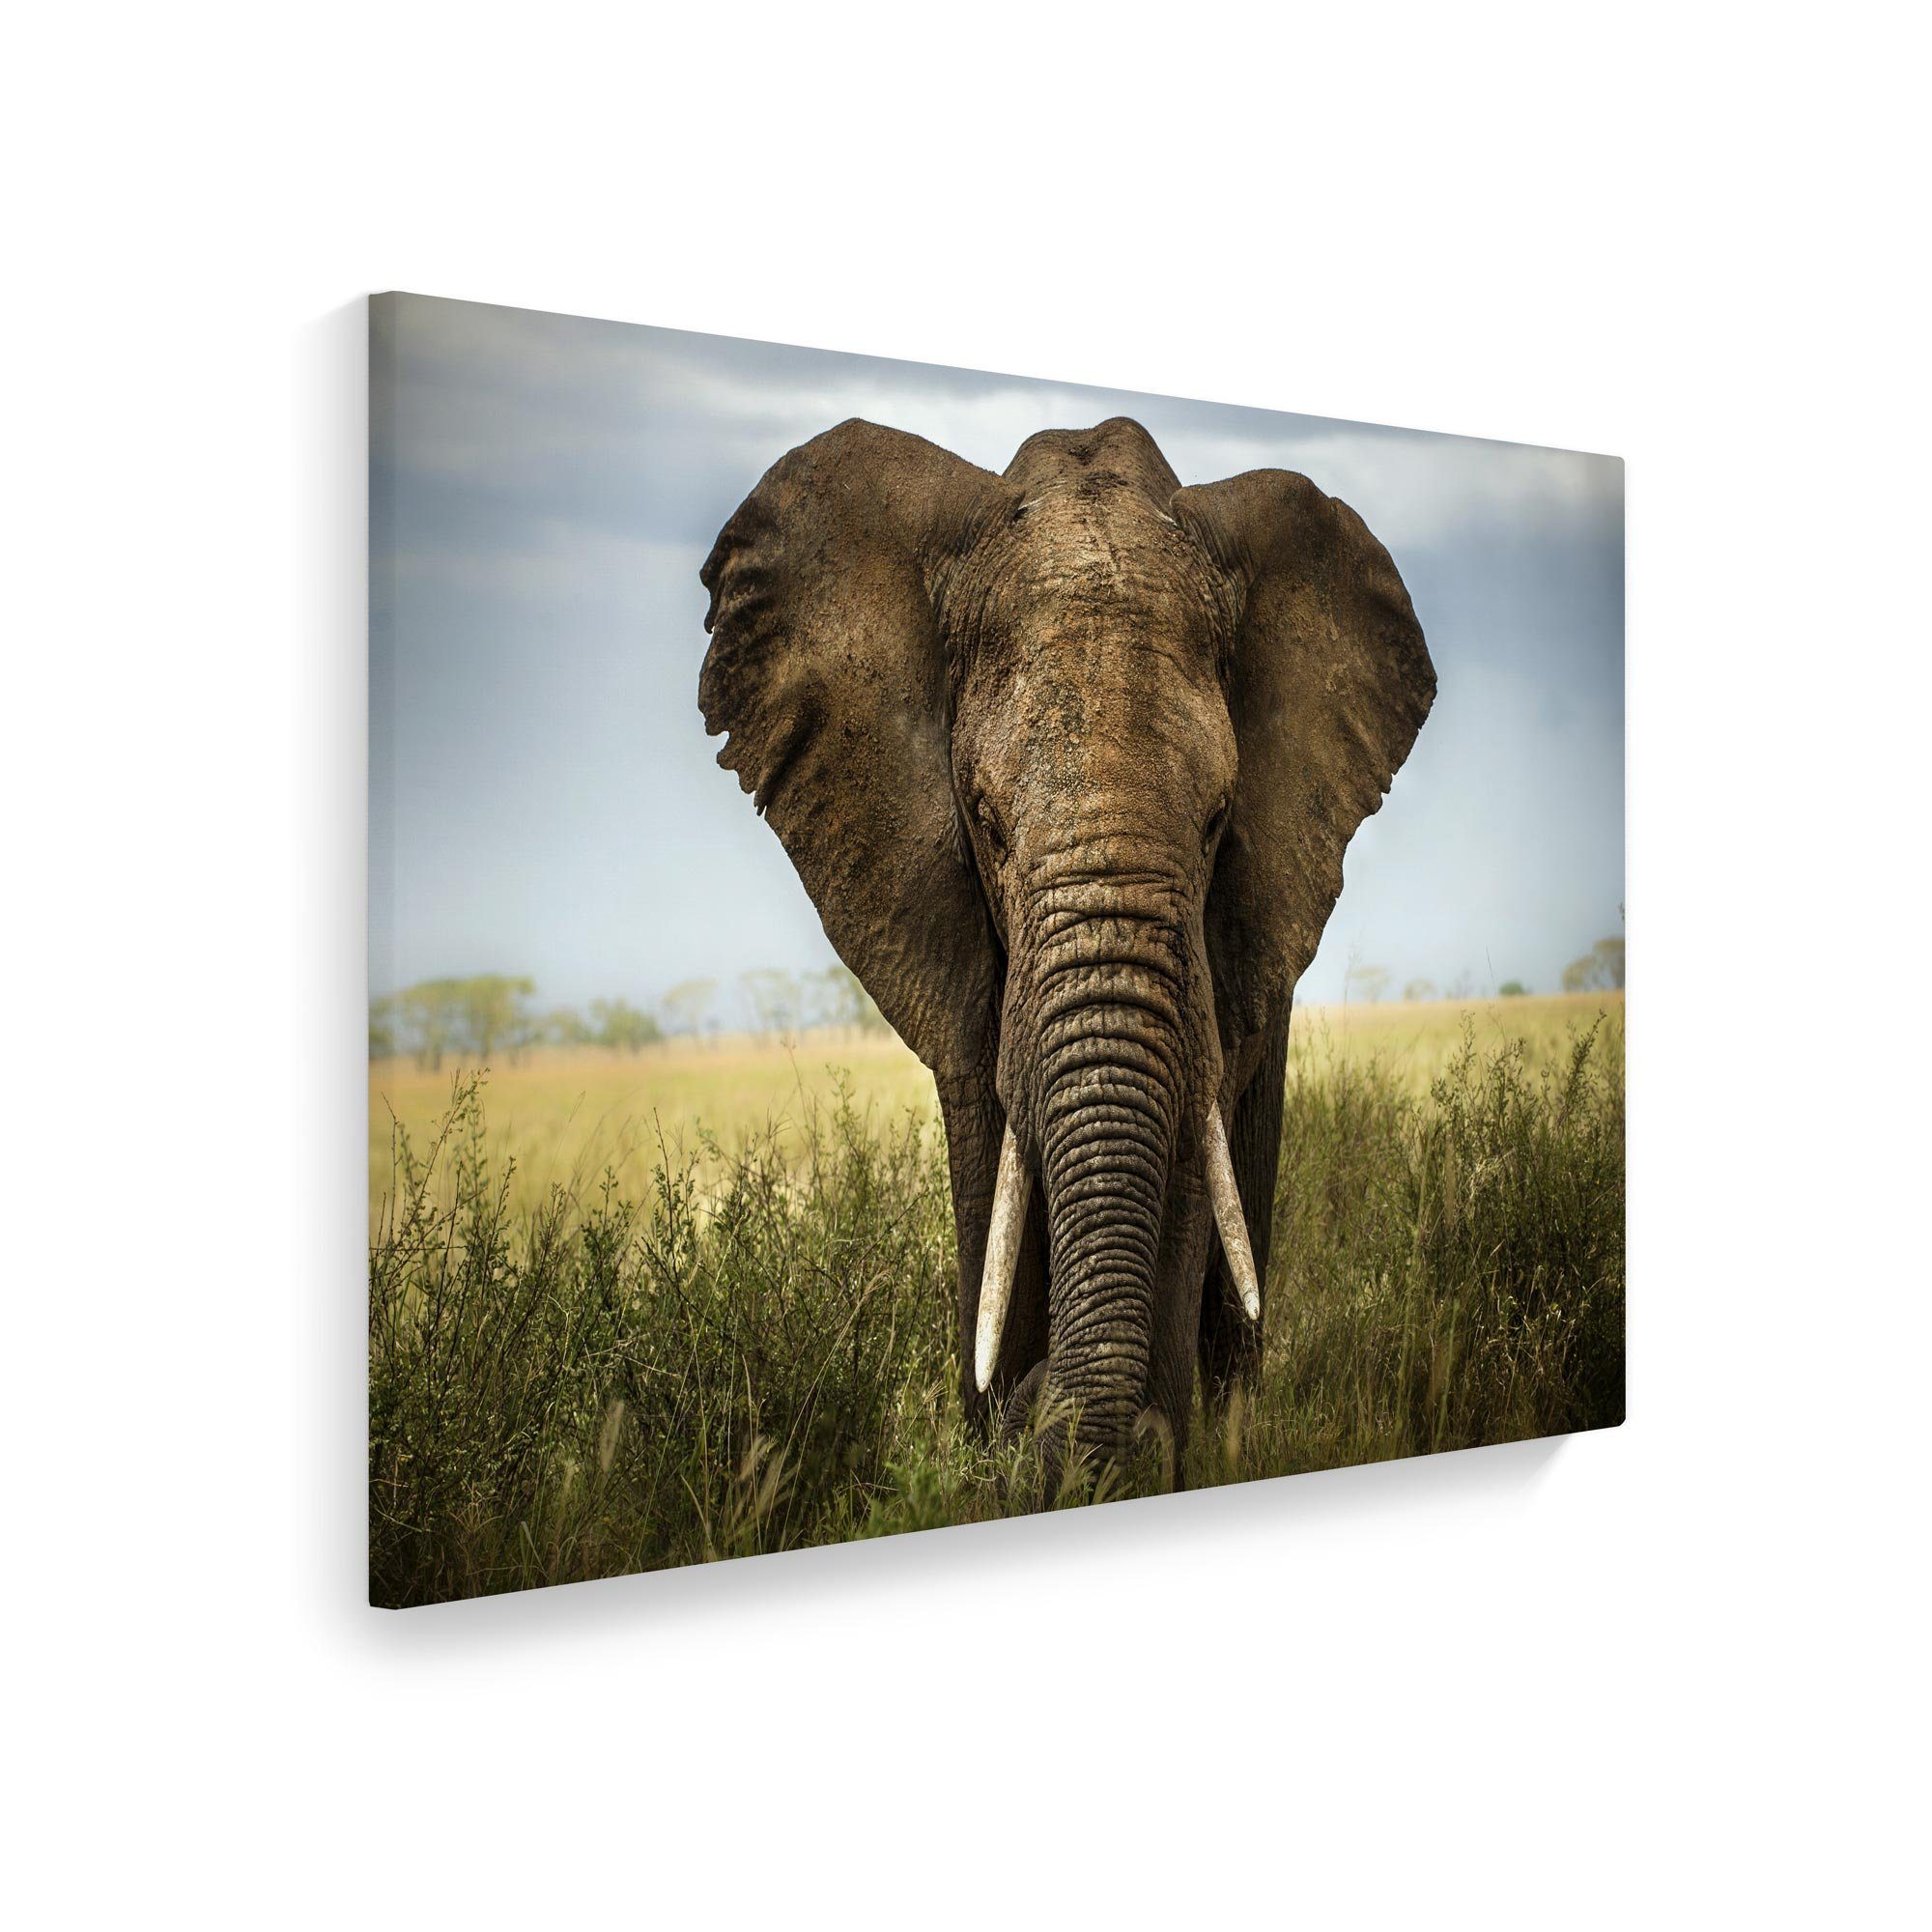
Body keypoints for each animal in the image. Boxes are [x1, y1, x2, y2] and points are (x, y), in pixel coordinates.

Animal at [699, 415, 1433, 1484]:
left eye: (1217, 822)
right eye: (987, 824)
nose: (1034, 1407)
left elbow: (1189, 1147)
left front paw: (1135, 1452)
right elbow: (988, 1140)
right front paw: (1004, 1443)